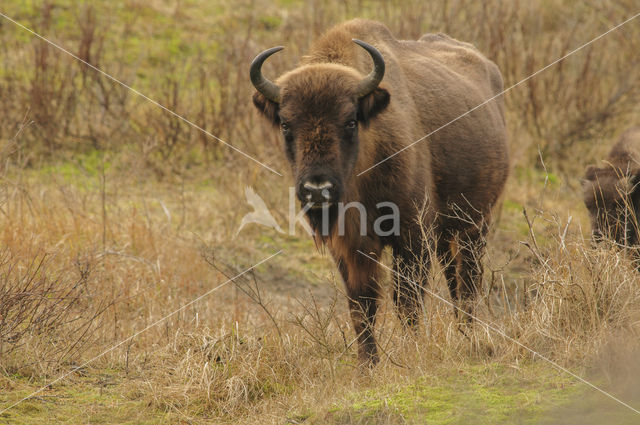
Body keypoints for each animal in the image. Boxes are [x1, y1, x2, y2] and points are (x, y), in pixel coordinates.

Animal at [250, 19, 510, 364]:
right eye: (285, 124)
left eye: (349, 121)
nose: (318, 189)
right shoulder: (351, 248)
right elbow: (362, 305)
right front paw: (367, 363)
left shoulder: (413, 237)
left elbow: (407, 300)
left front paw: (412, 350)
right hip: (448, 234)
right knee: (455, 278)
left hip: (476, 223)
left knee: (468, 279)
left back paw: (470, 335)